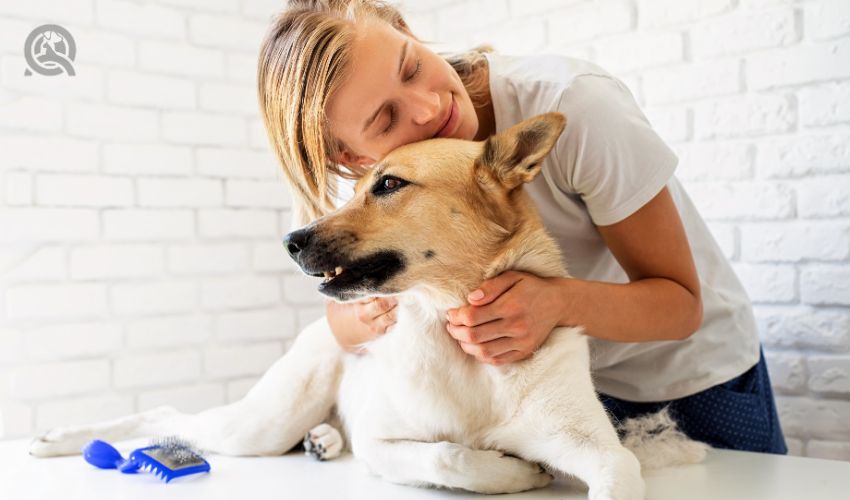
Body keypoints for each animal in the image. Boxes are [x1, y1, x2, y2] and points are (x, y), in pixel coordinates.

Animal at [28, 113, 704, 500]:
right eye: (358, 185)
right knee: (170, 415)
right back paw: (60, 438)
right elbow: (452, 455)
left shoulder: (602, 453)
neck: (451, 327)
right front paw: (516, 472)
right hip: (263, 424)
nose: (289, 241)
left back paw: (324, 440)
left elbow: (613, 470)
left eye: (389, 185)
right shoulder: (386, 442)